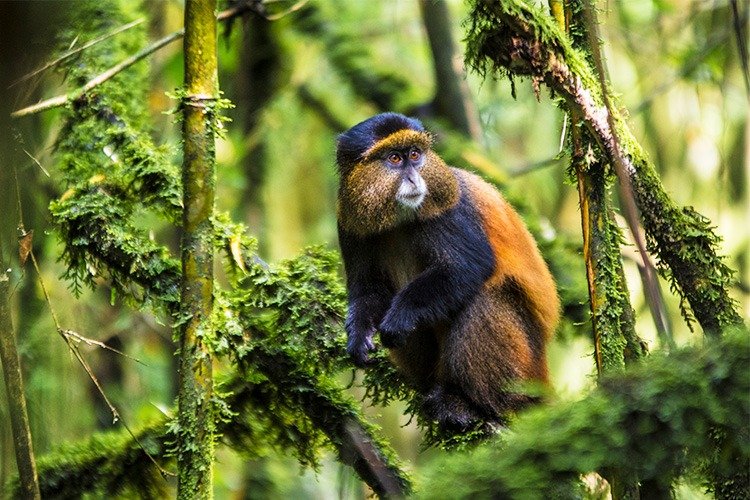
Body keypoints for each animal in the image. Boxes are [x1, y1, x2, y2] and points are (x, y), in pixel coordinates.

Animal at [336, 112, 560, 430]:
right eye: (394, 158)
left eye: (415, 155)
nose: (414, 178)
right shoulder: (349, 223)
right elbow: (368, 289)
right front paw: (358, 337)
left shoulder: (449, 209)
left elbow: (467, 267)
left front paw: (400, 317)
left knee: (484, 298)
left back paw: (470, 404)